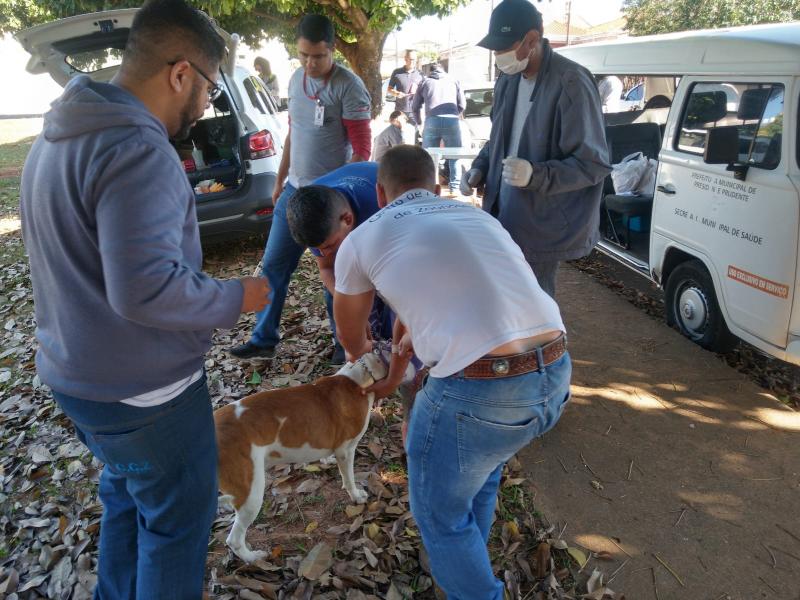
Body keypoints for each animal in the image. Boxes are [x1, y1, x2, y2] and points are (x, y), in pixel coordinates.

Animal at [212, 352, 388, 564]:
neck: (356, 378)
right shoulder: (346, 450)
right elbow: (349, 479)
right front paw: (356, 495)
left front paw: (326, 460)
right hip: (250, 493)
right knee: (234, 540)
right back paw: (253, 558)